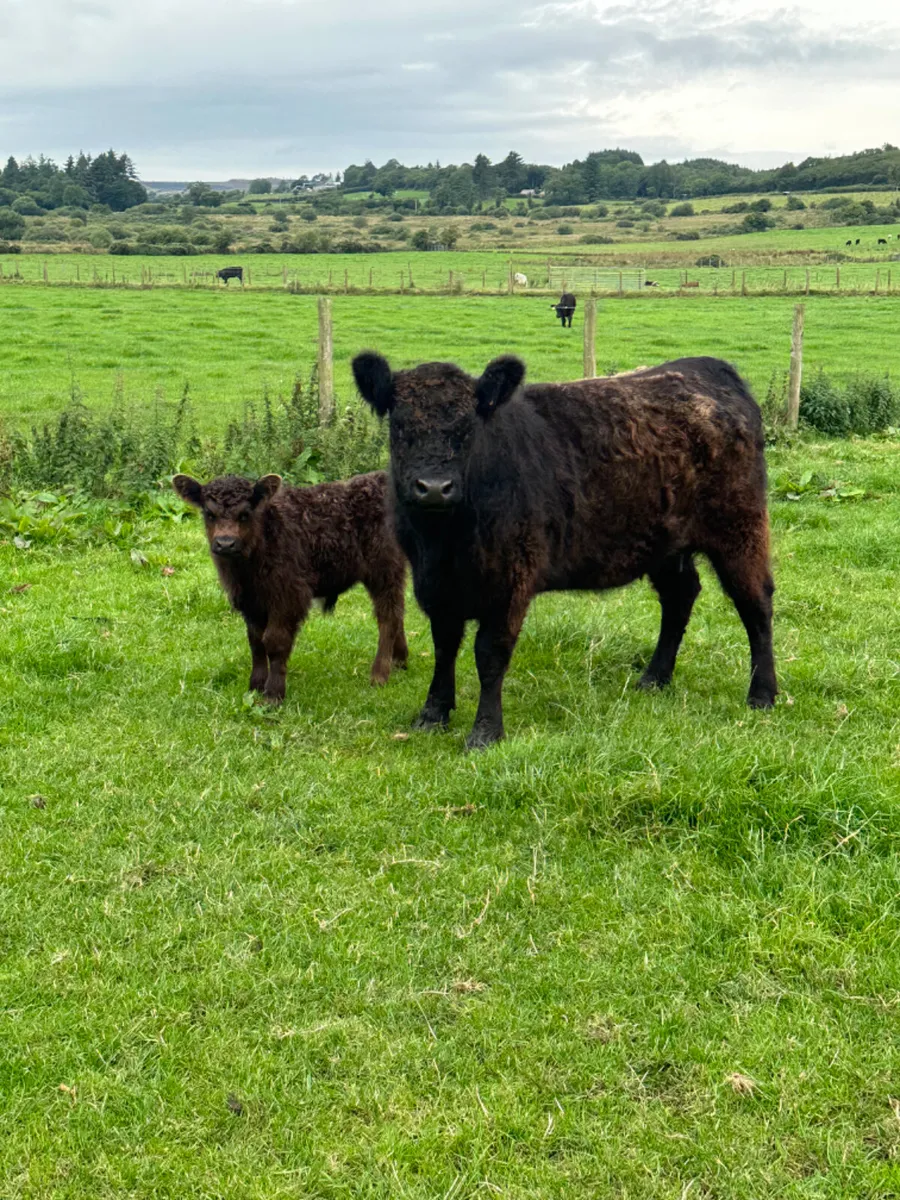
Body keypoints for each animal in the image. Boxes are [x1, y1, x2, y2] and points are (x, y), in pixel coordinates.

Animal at [172, 471, 408, 704]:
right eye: (209, 513)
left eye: (245, 513)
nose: (225, 543)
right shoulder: (250, 601)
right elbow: (256, 642)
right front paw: (255, 686)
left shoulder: (288, 596)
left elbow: (275, 641)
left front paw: (273, 694)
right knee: (398, 613)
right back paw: (400, 660)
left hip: (385, 570)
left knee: (388, 617)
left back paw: (379, 674)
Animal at [353, 352, 777, 750]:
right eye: (399, 426)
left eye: (468, 427)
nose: (435, 488)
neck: (445, 543)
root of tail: (709, 368)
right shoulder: (436, 586)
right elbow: (444, 647)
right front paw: (433, 714)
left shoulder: (511, 582)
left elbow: (489, 654)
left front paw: (485, 732)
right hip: (665, 544)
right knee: (680, 597)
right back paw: (654, 678)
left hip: (739, 529)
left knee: (755, 604)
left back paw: (762, 694)